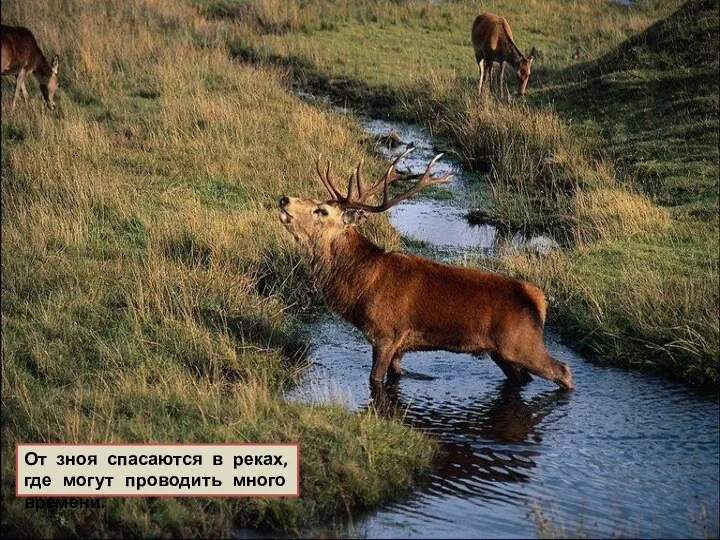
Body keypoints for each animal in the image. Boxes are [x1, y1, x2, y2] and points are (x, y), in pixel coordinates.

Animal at [276, 150, 572, 390]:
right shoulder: (401, 346)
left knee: (564, 370)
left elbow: (374, 379)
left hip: (522, 344)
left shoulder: (386, 334)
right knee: (524, 377)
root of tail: (539, 301)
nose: (283, 199)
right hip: (501, 353)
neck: (361, 286)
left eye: (321, 211)